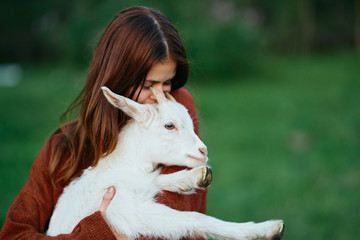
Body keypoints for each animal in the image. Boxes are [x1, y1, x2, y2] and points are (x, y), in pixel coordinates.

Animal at [47, 87, 284, 239]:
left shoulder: (140, 184)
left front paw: (194, 177)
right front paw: (265, 229)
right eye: (170, 125)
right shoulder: (126, 213)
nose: (203, 151)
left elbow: (157, 179)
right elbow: (195, 218)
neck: (120, 166)